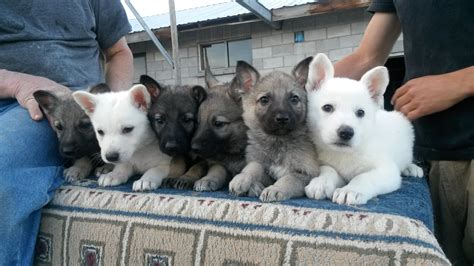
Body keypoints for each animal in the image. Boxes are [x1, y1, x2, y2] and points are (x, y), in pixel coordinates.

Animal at [229, 58, 320, 202]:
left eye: (294, 98)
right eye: (264, 99)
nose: (282, 119)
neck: (278, 141)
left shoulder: (307, 173)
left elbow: (289, 178)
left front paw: (275, 189)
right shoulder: (264, 169)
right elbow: (254, 166)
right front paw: (242, 179)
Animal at [304, 53, 422, 205]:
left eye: (360, 112)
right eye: (327, 107)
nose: (346, 132)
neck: (344, 154)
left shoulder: (386, 170)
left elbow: (364, 177)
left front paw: (351, 190)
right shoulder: (328, 165)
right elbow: (328, 170)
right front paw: (320, 183)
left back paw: (411, 168)